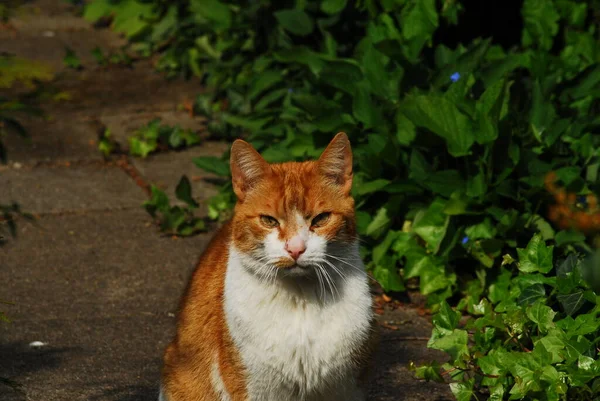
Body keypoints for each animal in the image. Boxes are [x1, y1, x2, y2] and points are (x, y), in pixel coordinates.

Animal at [158, 134, 376, 400]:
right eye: (269, 221)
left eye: (321, 219)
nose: (295, 248)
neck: (301, 301)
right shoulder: (256, 388)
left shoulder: (345, 387)